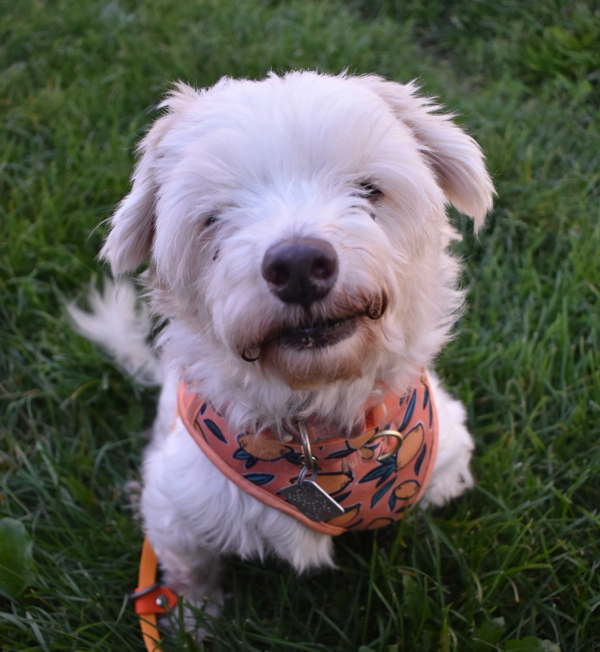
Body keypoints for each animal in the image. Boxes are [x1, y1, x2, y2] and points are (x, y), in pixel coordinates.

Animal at [70, 71, 494, 636]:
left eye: (369, 190)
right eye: (213, 218)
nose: (297, 265)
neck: (317, 425)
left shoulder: (443, 452)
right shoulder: (175, 508)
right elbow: (189, 571)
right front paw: (194, 622)